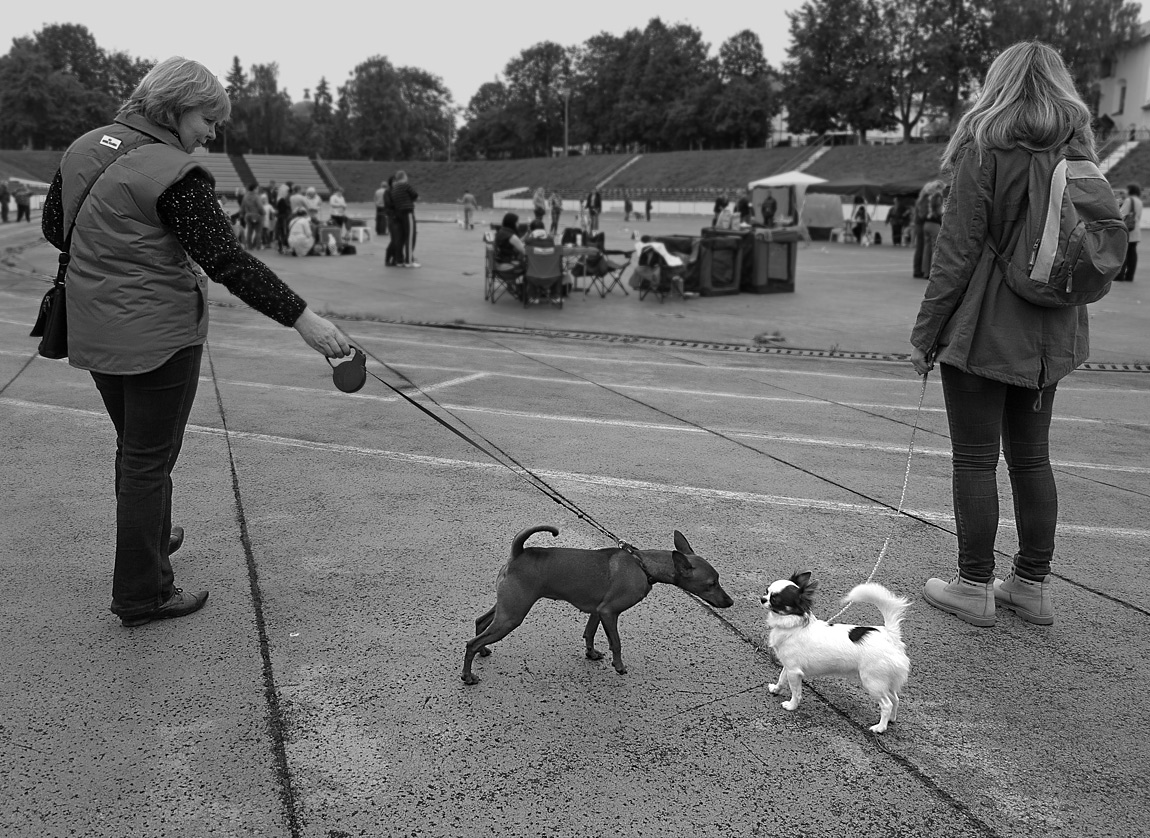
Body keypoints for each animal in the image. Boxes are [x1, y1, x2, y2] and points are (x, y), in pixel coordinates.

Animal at [462, 526, 731, 685]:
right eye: (712, 584)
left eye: (718, 580)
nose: (730, 602)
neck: (643, 565)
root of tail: (519, 553)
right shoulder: (609, 612)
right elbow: (616, 643)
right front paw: (619, 666)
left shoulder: (597, 611)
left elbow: (589, 633)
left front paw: (591, 654)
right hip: (512, 615)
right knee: (471, 643)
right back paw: (467, 675)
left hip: (506, 608)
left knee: (480, 623)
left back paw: (483, 651)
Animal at [759, 567, 910, 731]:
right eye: (767, 591)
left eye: (775, 599)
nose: (762, 598)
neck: (794, 625)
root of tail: (890, 635)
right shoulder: (789, 666)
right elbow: (781, 678)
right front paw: (776, 689)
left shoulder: (794, 671)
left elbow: (796, 691)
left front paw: (791, 706)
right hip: (885, 680)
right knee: (895, 699)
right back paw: (891, 719)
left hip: (872, 681)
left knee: (887, 704)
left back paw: (880, 727)